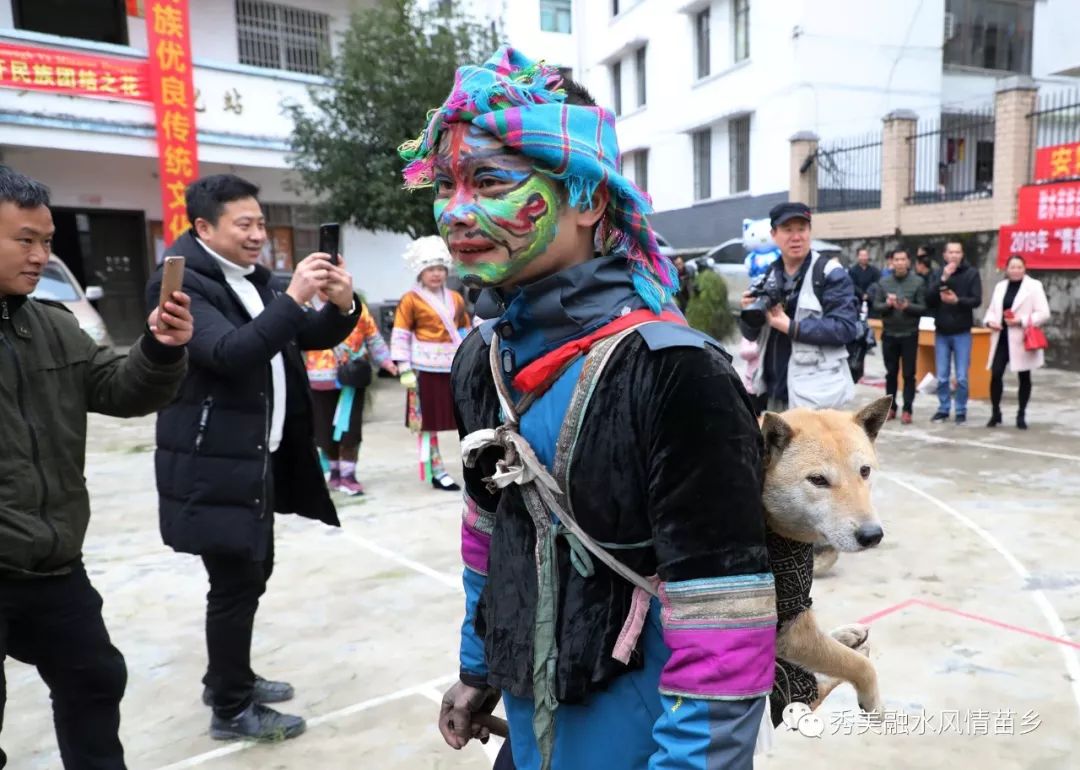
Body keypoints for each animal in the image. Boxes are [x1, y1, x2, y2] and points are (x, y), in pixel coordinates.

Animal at [756, 397, 889, 721]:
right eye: (817, 480)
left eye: (864, 471)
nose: (872, 535)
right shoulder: (789, 627)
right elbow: (859, 666)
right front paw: (873, 700)